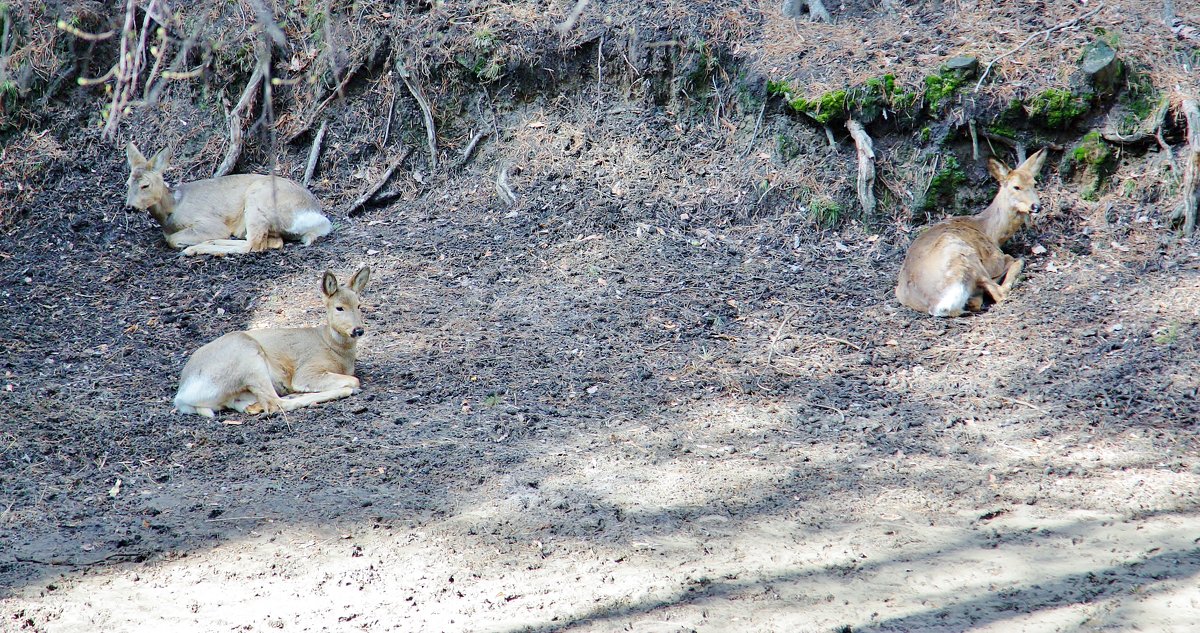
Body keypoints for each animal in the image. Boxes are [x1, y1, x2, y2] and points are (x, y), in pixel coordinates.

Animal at [124, 142, 331, 255]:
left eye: (145, 185)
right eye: (127, 184)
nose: (129, 207)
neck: (173, 208)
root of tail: (316, 216)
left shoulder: (208, 222)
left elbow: (173, 240)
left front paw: (187, 244)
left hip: (258, 198)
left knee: (253, 245)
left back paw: (195, 248)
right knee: (272, 242)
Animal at [174, 268, 369, 419]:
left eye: (359, 305)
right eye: (339, 307)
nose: (358, 330)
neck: (334, 349)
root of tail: (182, 396)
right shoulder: (308, 369)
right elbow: (354, 379)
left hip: (237, 390)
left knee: (254, 404)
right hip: (248, 357)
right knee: (275, 403)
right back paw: (343, 392)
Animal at [897, 148, 1046, 316]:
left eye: (1034, 184)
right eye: (1016, 187)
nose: (1036, 206)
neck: (990, 231)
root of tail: (938, 305)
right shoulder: (993, 259)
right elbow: (1014, 260)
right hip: (963, 253)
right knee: (1000, 289)